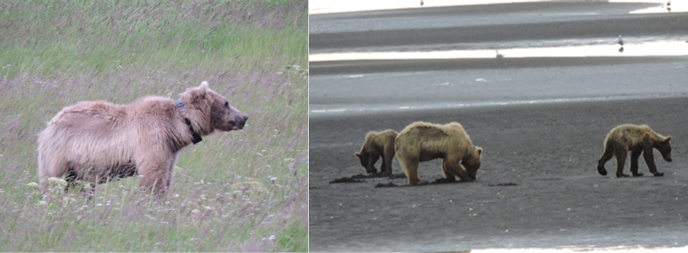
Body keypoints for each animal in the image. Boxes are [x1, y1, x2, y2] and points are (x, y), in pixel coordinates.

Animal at [37, 82, 247, 197]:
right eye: (226, 102)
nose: (244, 117)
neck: (176, 126)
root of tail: (48, 125)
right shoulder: (151, 139)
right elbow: (152, 177)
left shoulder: (170, 150)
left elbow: (166, 176)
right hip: (60, 153)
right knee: (53, 183)